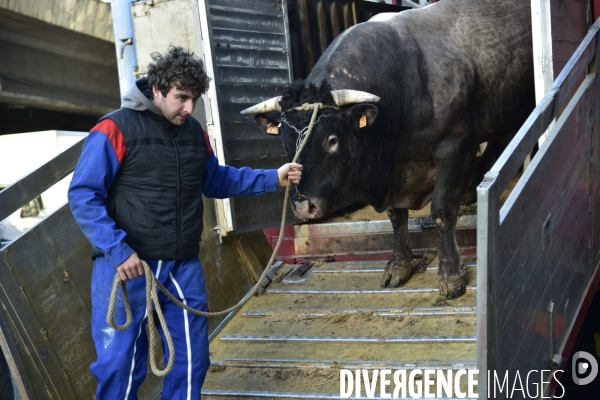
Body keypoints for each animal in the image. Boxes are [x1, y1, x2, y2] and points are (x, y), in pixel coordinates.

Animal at [241, 0, 532, 298]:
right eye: (285, 141)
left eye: (332, 140)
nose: (303, 205)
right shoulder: (393, 171)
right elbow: (396, 217)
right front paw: (401, 265)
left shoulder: (456, 146)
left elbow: (442, 211)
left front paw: (450, 274)